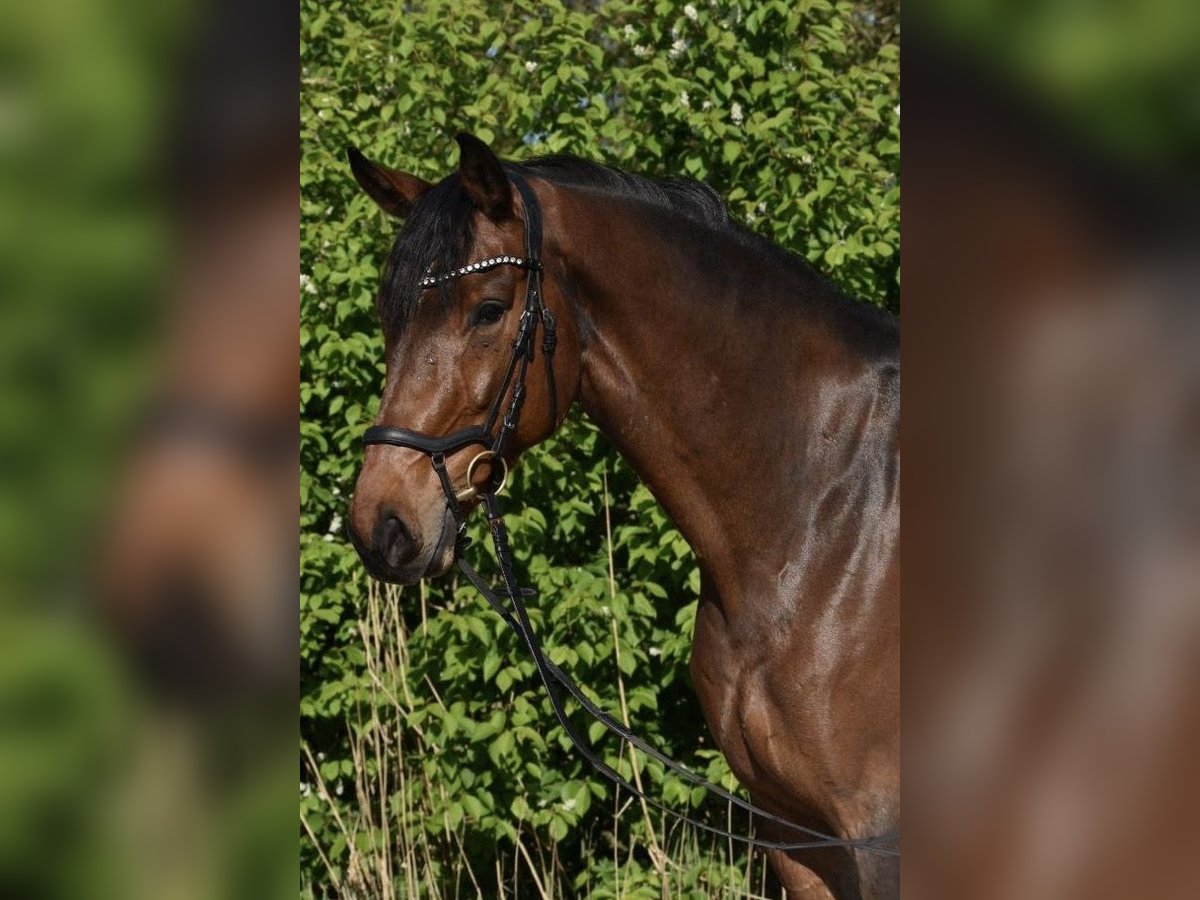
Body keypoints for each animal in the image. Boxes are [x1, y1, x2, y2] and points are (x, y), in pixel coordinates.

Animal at [346, 133, 900, 900]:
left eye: (488, 309)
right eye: (387, 313)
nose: (381, 524)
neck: (828, 516)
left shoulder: (877, 837)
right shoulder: (795, 834)